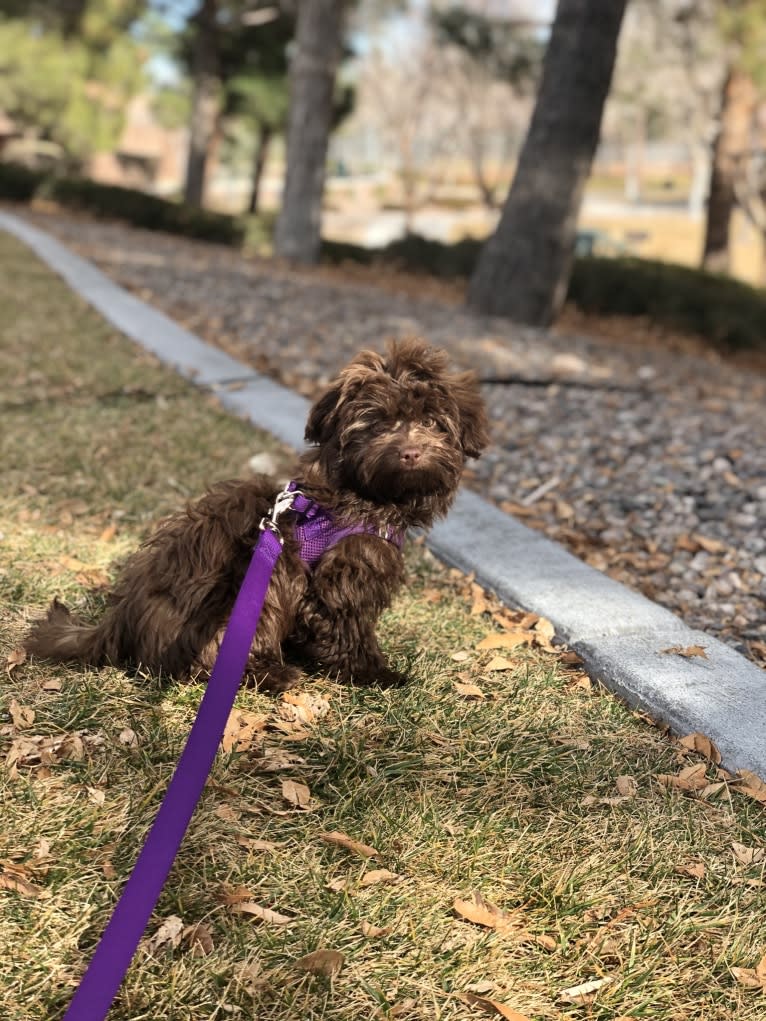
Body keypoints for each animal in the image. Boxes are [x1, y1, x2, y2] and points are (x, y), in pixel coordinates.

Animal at [28, 338, 492, 690]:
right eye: (377, 423)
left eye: (432, 422)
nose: (410, 451)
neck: (364, 494)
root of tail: (122, 623)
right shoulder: (346, 572)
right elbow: (348, 625)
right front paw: (373, 673)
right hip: (256, 585)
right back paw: (272, 674)